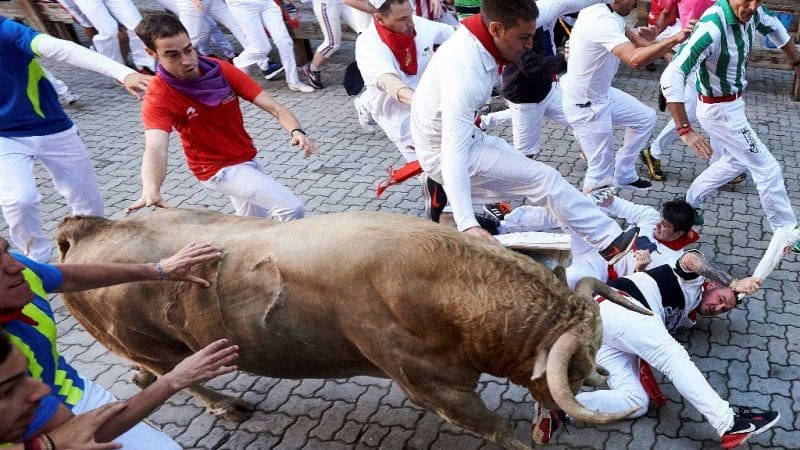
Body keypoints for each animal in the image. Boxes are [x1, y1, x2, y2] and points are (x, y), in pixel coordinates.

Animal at [56, 209, 648, 448]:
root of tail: (90, 230)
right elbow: (497, 429)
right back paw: (228, 405)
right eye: (576, 362)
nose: (596, 379)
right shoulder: (435, 387)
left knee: (147, 376)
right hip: (152, 346)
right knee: (171, 376)